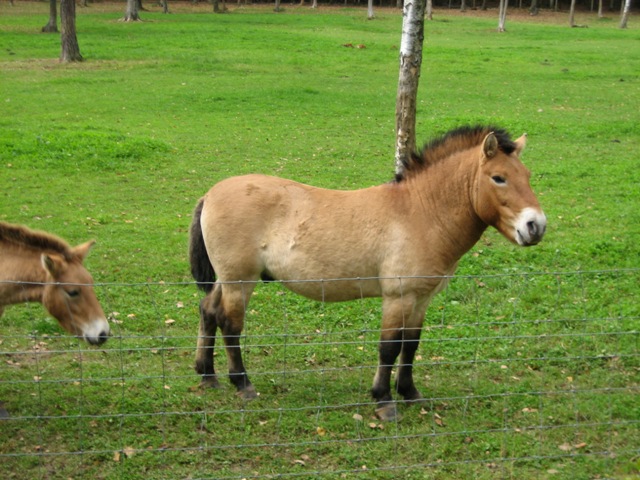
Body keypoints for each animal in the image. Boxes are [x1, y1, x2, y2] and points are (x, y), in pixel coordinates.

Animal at [189, 124, 544, 420]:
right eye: (498, 177)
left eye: (527, 175)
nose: (536, 226)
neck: (420, 211)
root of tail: (210, 194)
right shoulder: (398, 297)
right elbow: (389, 347)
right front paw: (384, 401)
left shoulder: (421, 298)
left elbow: (410, 345)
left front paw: (410, 393)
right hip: (240, 281)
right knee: (230, 325)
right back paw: (242, 384)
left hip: (226, 279)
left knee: (208, 311)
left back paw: (208, 375)